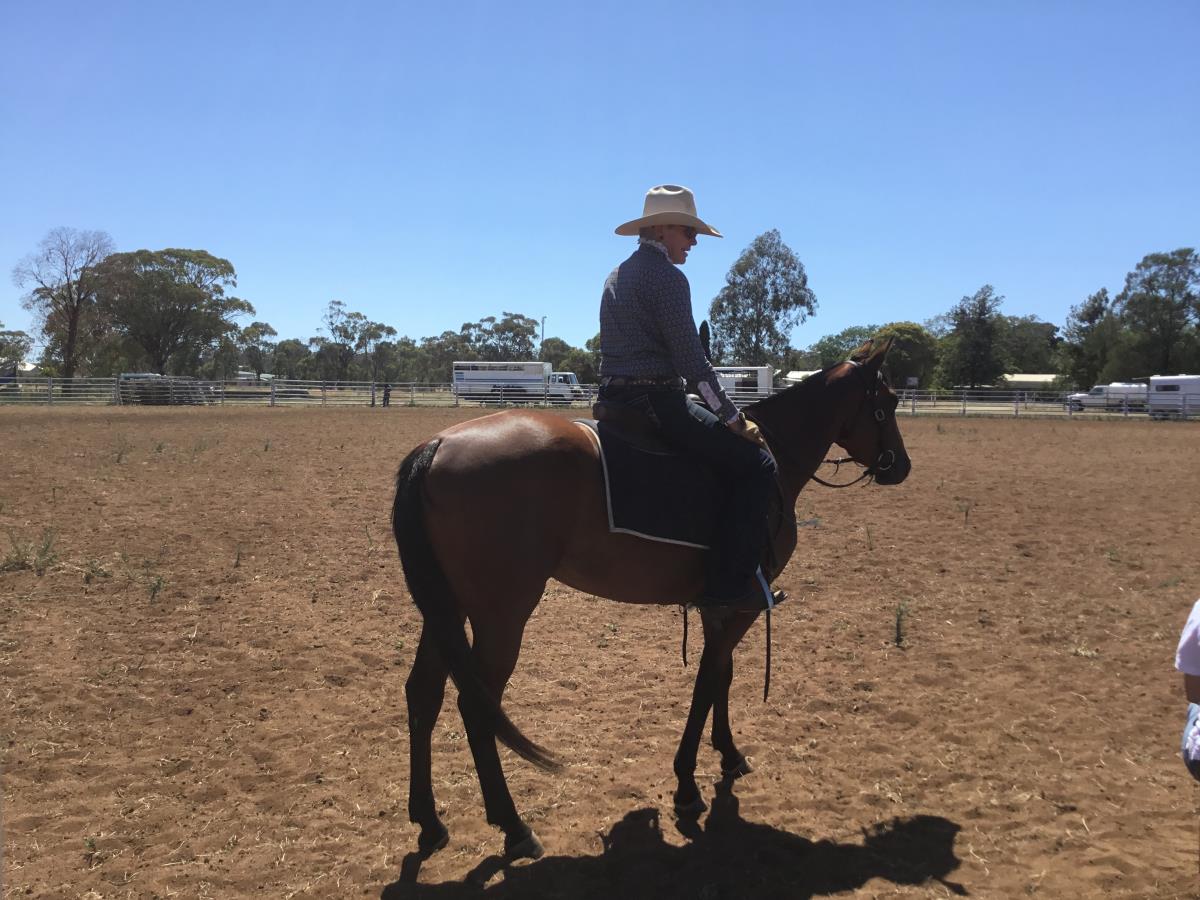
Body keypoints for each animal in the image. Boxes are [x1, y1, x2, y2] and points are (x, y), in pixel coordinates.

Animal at [390, 338, 911, 861]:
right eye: (886, 404)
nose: (901, 466)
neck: (774, 463)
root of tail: (436, 446)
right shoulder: (741, 605)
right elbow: (707, 682)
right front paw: (687, 784)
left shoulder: (720, 607)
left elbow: (721, 678)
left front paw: (728, 754)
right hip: (501, 615)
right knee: (477, 706)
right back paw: (513, 826)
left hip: (447, 609)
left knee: (423, 694)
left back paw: (430, 823)